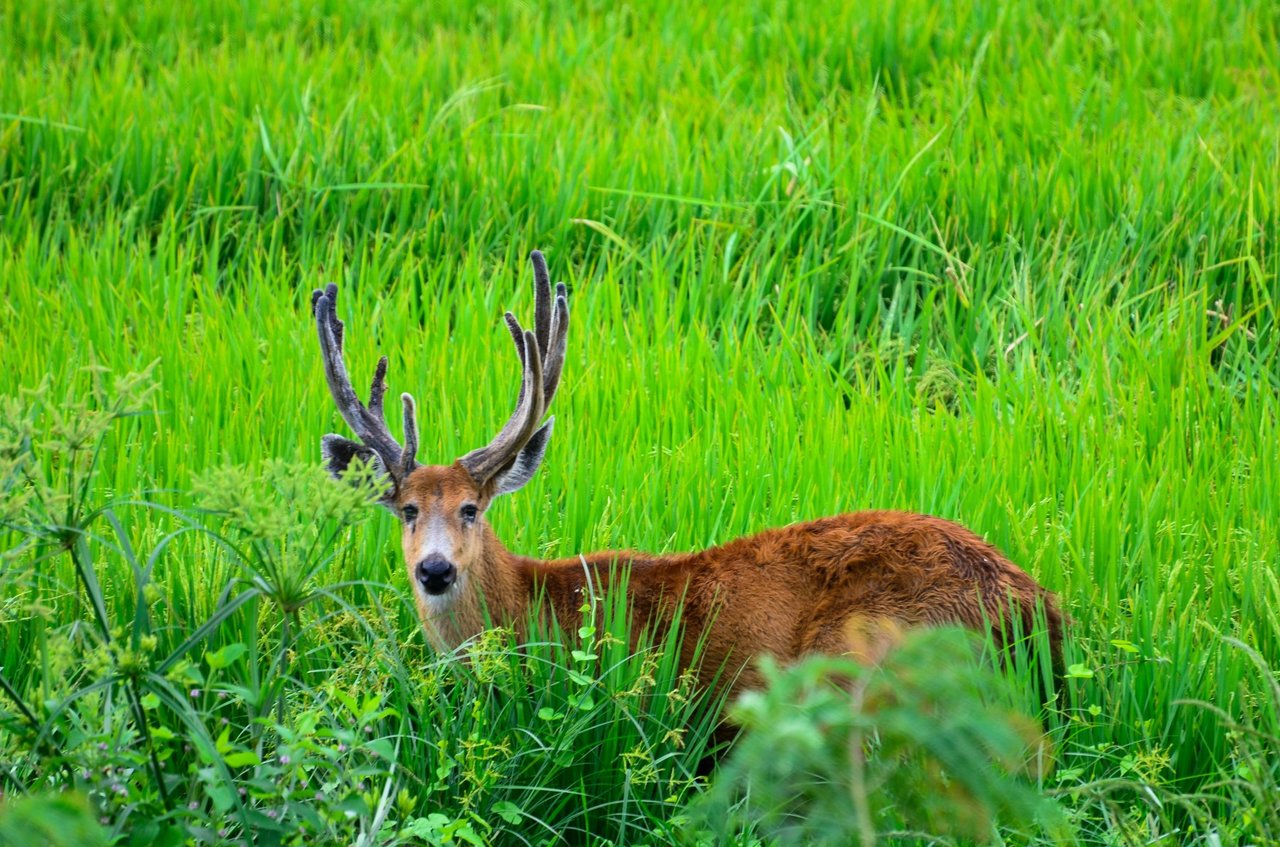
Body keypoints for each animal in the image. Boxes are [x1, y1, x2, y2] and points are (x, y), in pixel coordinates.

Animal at [314, 252, 1064, 701]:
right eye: (406, 509)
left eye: (472, 507)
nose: (435, 569)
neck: (532, 607)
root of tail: (1033, 608)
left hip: (867, 645)